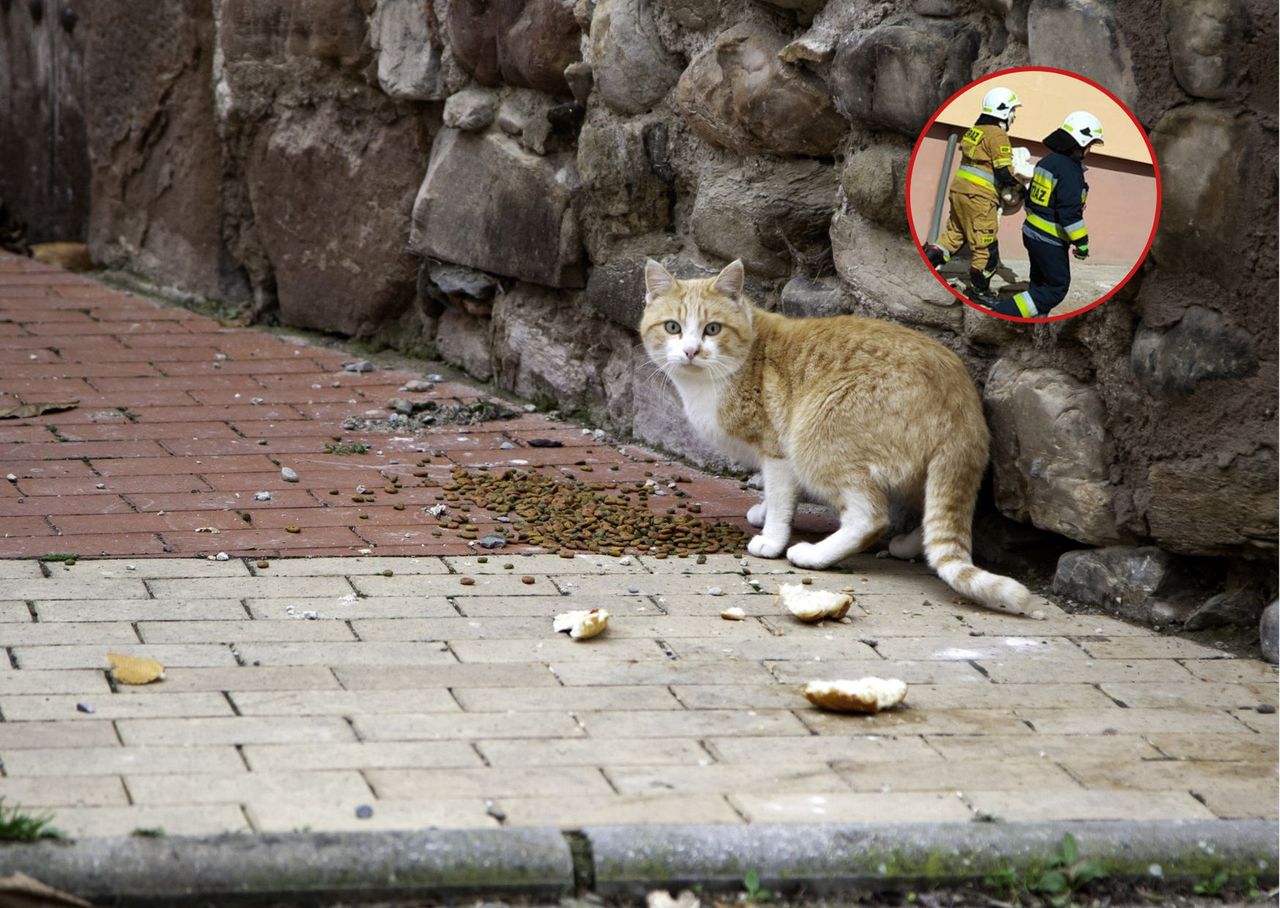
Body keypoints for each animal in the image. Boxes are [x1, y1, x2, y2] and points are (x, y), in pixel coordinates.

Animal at [634, 254, 1034, 617]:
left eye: (712, 329)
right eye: (673, 327)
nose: (691, 351)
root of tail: (962, 402)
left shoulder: (778, 453)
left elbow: (780, 498)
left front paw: (772, 538)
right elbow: (775, 494)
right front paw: (763, 511)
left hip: (814, 436)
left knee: (869, 518)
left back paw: (814, 555)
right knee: (925, 505)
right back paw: (908, 545)